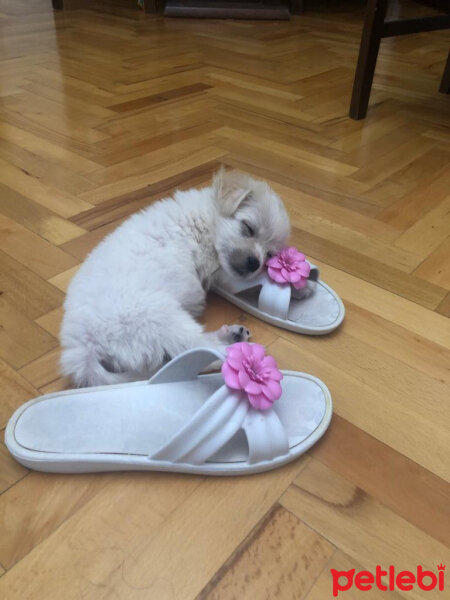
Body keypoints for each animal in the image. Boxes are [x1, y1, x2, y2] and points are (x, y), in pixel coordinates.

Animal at [59, 169, 290, 386]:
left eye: (270, 254)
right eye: (248, 228)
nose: (254, 263)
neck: (206, 219)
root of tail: (85, 350)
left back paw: (232, 335)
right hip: (160, 317)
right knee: (195, 350)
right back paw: (239, 352)